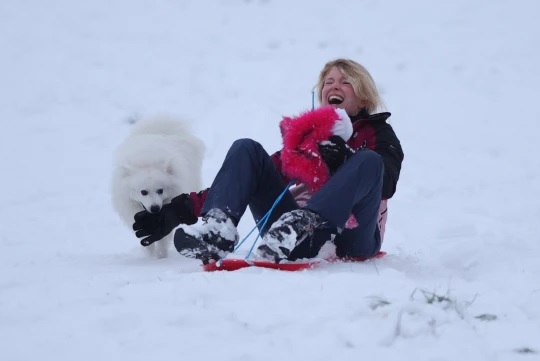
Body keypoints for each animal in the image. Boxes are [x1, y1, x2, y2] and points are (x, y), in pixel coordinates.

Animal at [112, 114, 205, 258]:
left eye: (160, 190)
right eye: (143, 192)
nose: (155, 208)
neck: (147, 161)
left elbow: (162, 239)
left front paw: (161, 258)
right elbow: (146, 241)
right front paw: (150, 258)